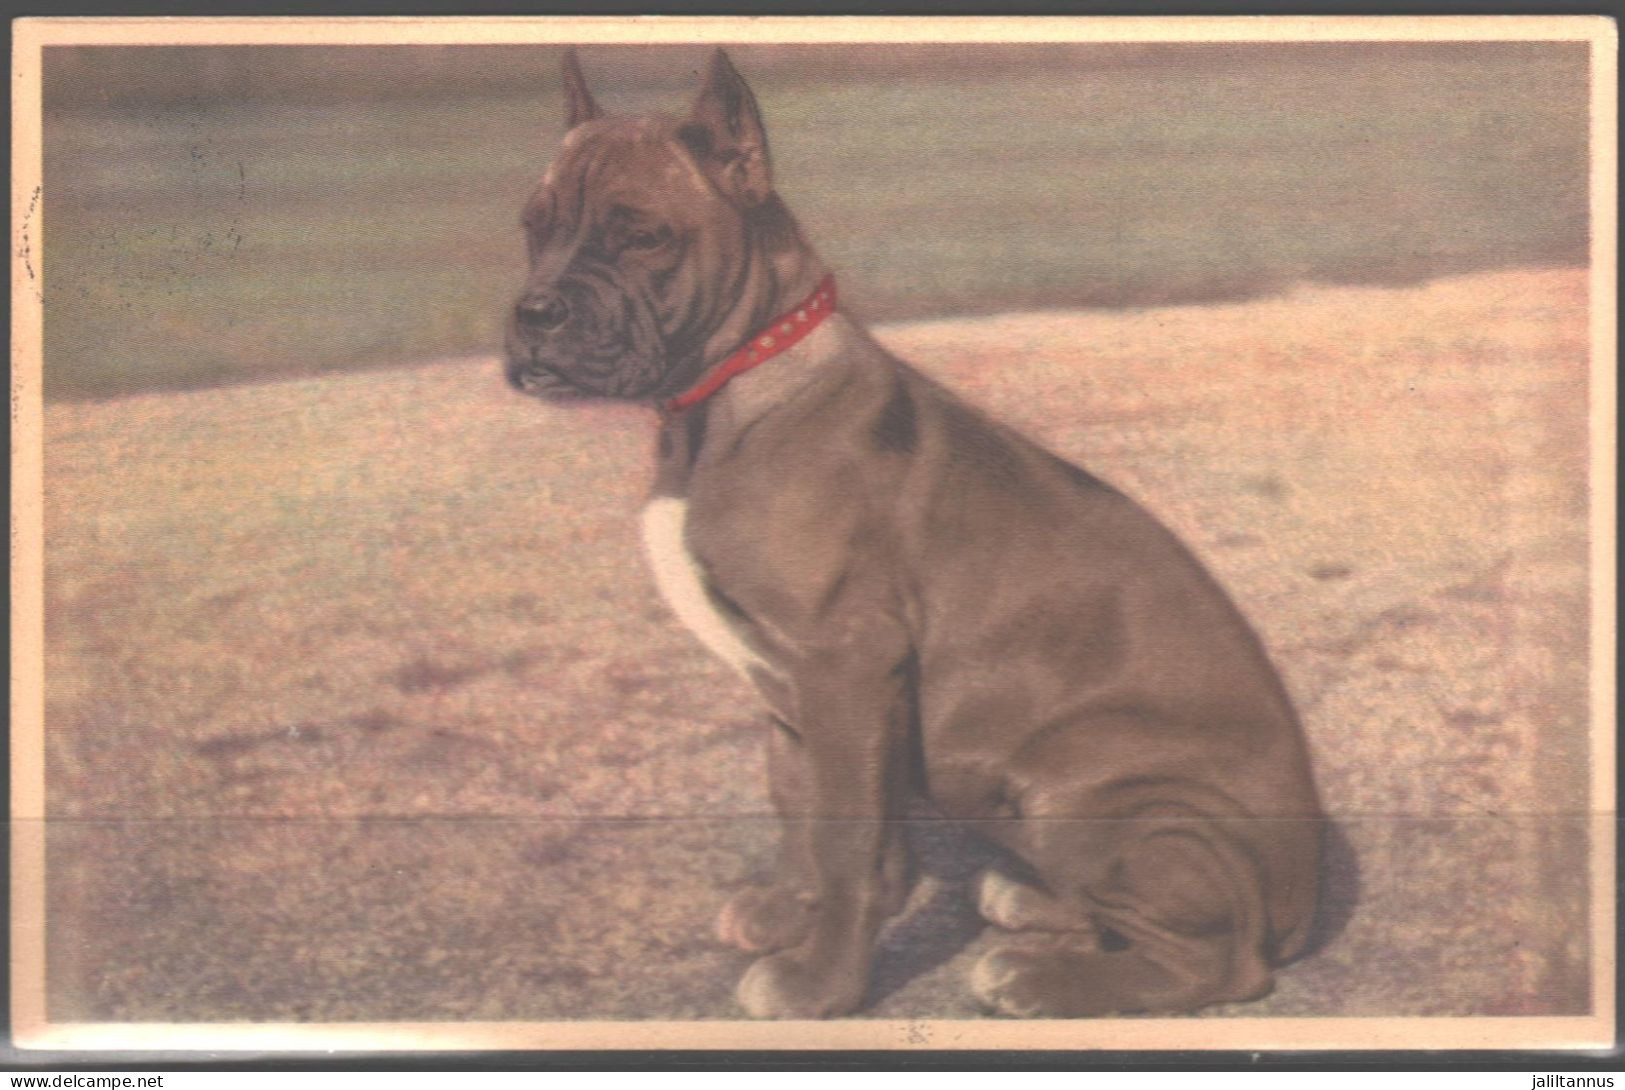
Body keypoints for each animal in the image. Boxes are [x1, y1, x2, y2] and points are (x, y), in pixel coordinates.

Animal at [503, 49, 1319, 1026]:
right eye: (532, 228)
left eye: (641, 236)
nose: (534, 314)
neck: (724, 393)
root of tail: (1301, 903)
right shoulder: (793, 694)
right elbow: (804, 815)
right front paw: (790, 914)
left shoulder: (846, 668)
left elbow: (849, 850)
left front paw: (820, 986)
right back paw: (1028, 905)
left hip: (1091, 788)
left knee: (1217, 964)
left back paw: (1039, 978)